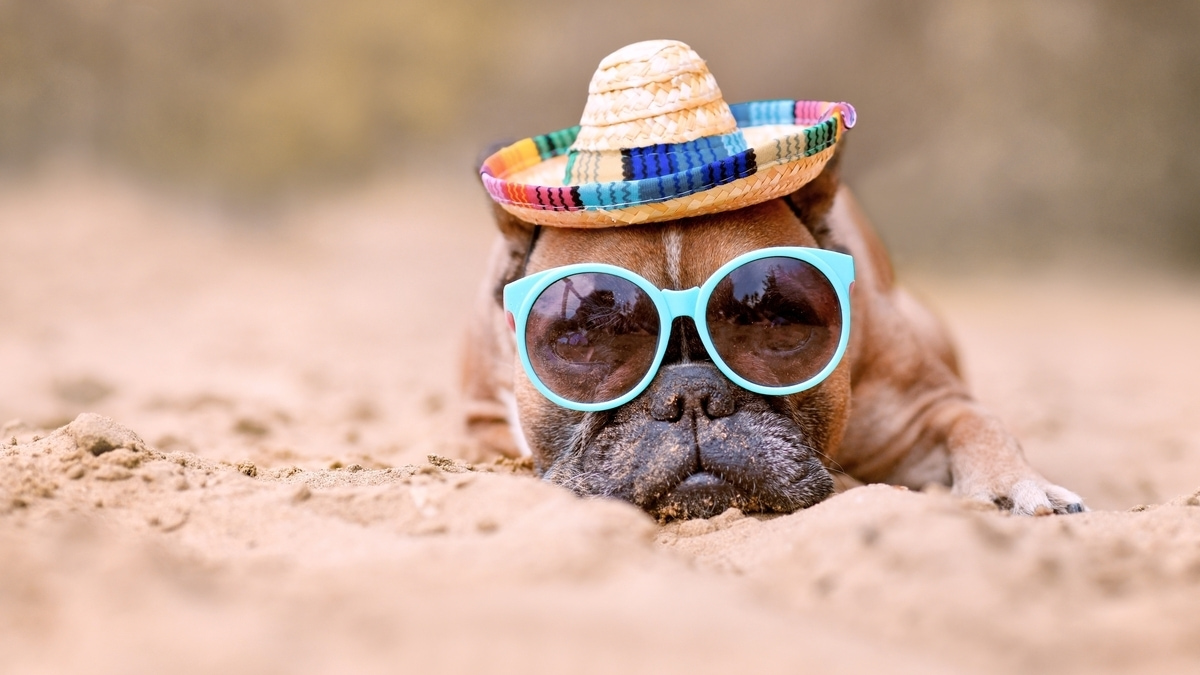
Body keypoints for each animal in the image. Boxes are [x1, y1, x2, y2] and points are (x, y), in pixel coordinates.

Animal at [453, 39, 1084, 516]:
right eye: (583, 337)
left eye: (778, 322)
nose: (691, 395)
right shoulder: (481, 427)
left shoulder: (925, 406)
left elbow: (977, 422)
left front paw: (1013, 485)